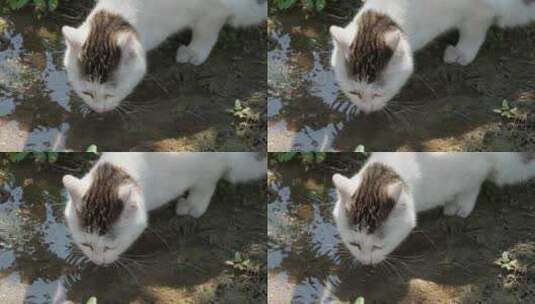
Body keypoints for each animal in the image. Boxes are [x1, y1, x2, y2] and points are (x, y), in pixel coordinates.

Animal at [61, 0, 266, 113]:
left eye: (110, 94)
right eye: (86, 93)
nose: (98, 110)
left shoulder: (215, 10)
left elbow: (205, 31)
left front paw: (195, 51)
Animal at [62, 153, 266, 264]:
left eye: (110, 247)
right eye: (86, 244)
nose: (97, 262)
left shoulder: (210, 164)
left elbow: (206, 182)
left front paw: (194, 204)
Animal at [330, 0, 535, 113]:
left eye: (378, 94)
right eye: (354, 92)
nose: (365, 110)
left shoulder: (480, 12)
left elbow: (473, 32)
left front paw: (463, 52)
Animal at [330, 153, 535, 264]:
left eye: (378, 246)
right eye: (354, 244)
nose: (365, 262)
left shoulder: (471, 171)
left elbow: (473, 185)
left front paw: (460, 203)